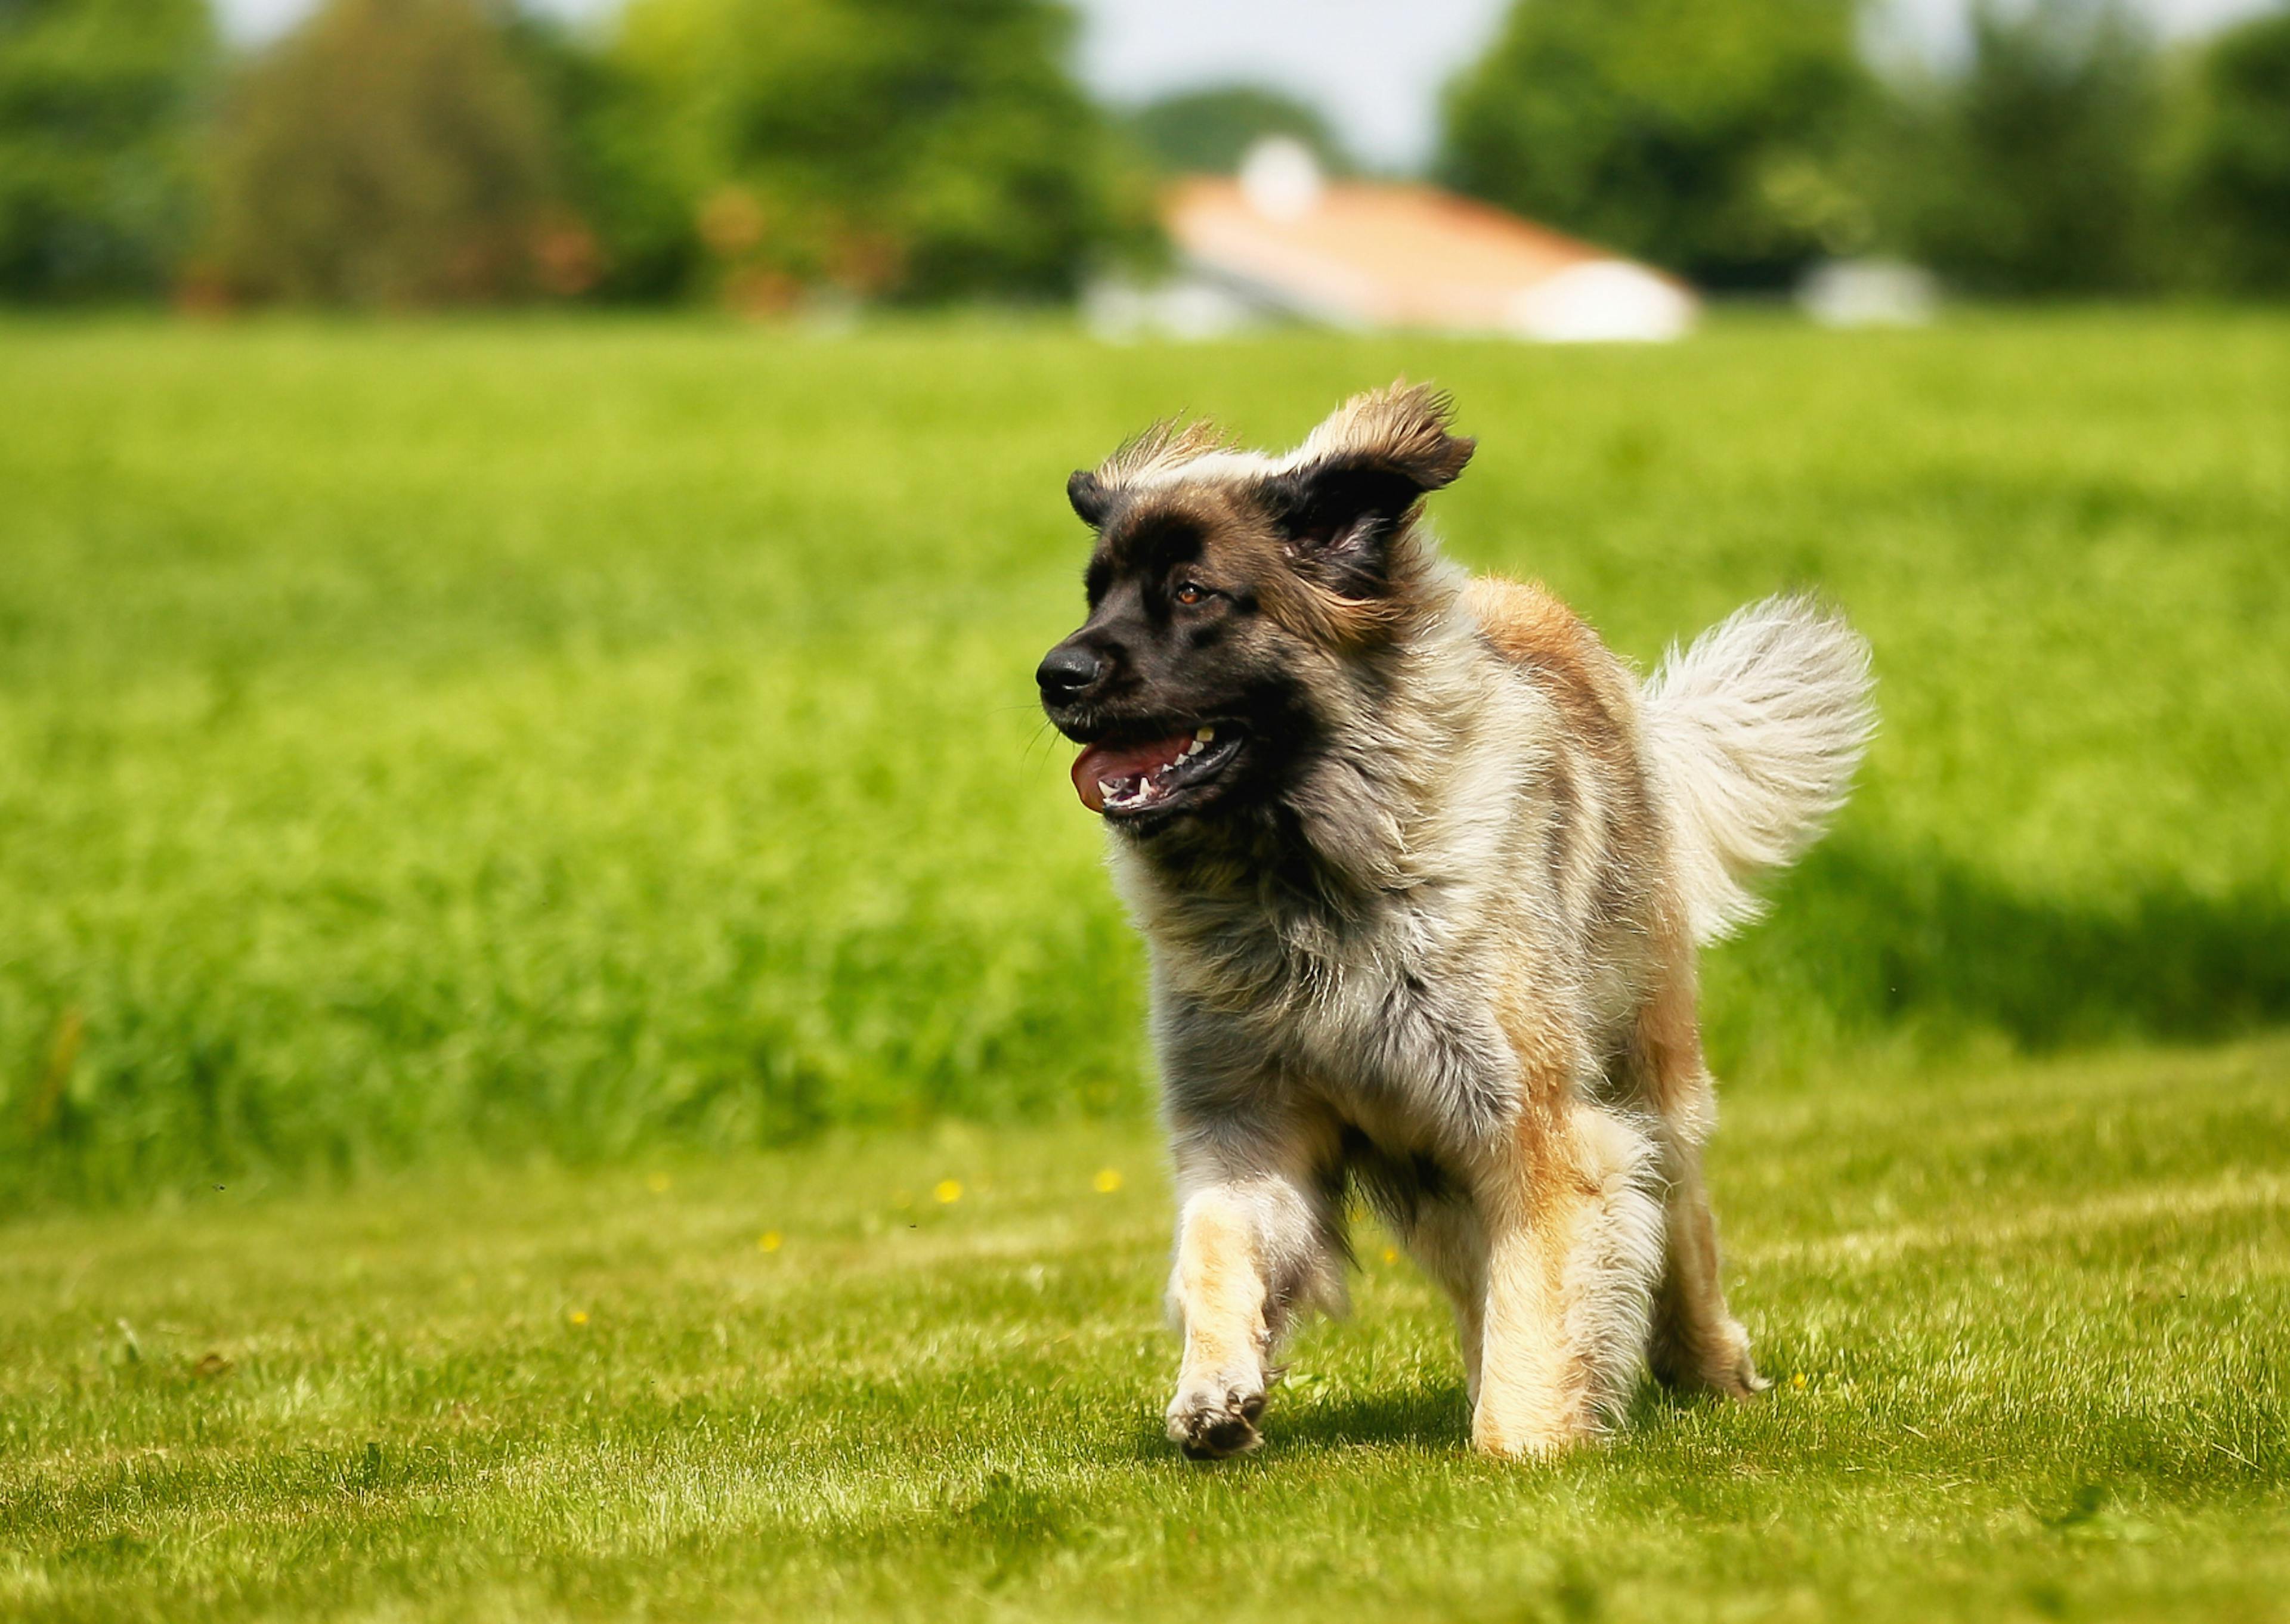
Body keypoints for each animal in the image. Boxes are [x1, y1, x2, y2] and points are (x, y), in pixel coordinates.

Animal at [1039, 380, 1877, 1456]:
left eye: (1192, 594)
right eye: (1096, 594)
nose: (1055, 675)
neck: (1306, 885)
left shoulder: (1532, 1129)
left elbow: (1545, 1292)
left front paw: (1526, 1444)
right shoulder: (1247, 1116)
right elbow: (1218, 1243)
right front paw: (1215, 1390)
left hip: (1644, 1068)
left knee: (1679, 1214)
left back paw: (1708, 1365)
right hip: (1429, 1160)